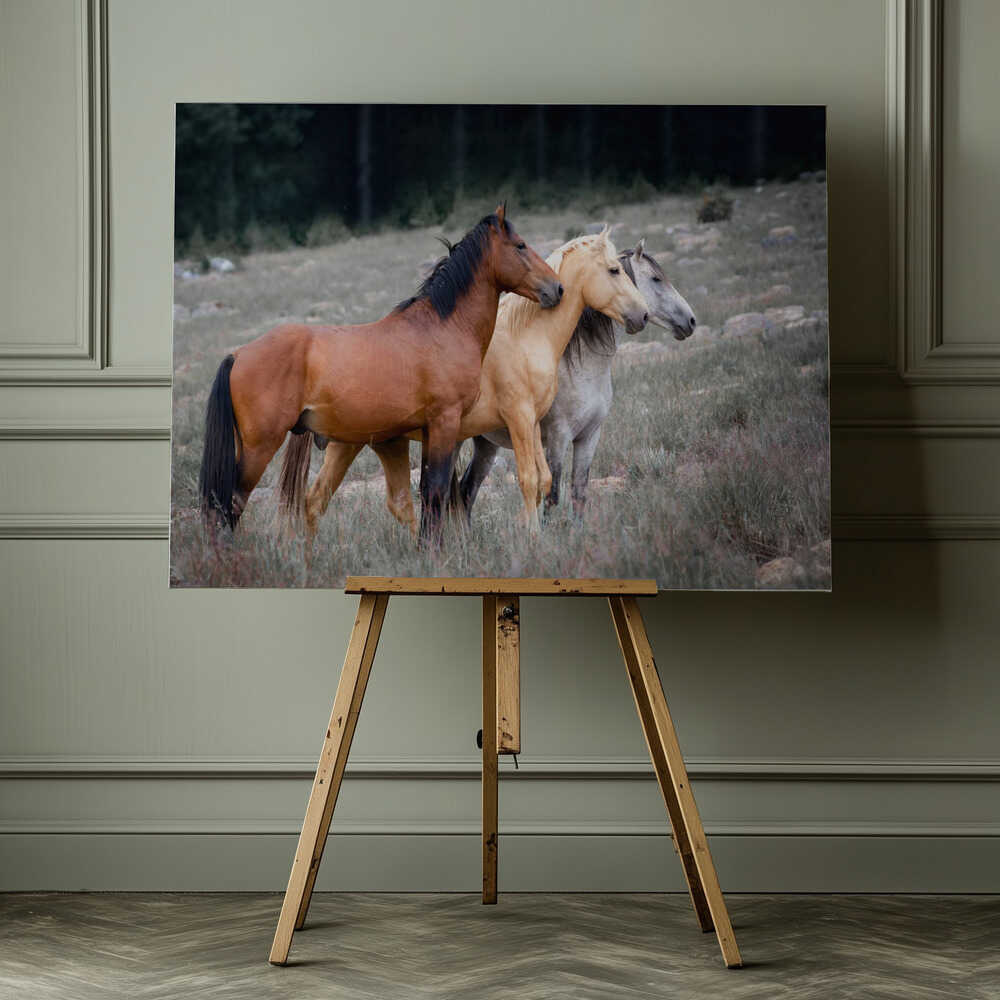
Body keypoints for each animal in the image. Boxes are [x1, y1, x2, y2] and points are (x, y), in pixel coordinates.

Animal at [198, 205, 563, 540]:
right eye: (520, 245)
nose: (557, 289)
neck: (443, 328)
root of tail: (237, 355)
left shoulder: (430, 430)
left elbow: (427, 492)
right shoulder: (445, 423)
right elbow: (436, 491)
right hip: (259, 448)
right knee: (230, 505)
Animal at [286, 228, 650, 534]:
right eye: (614, 270)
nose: (642, 314)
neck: (526, 338)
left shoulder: (533, 423)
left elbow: (544, 480)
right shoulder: (521, 419)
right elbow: (530, 480)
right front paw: (532, 536)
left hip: (368, 444)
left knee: (330, 500)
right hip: (353, 443)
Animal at [459, 238, 696, 517]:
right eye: (656, 279)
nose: (691, 321)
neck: (581, 370)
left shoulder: (589, 437)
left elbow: (579, 494)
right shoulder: (558, 438)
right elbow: (552, 496)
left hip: (486, 444)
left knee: (466, 491)